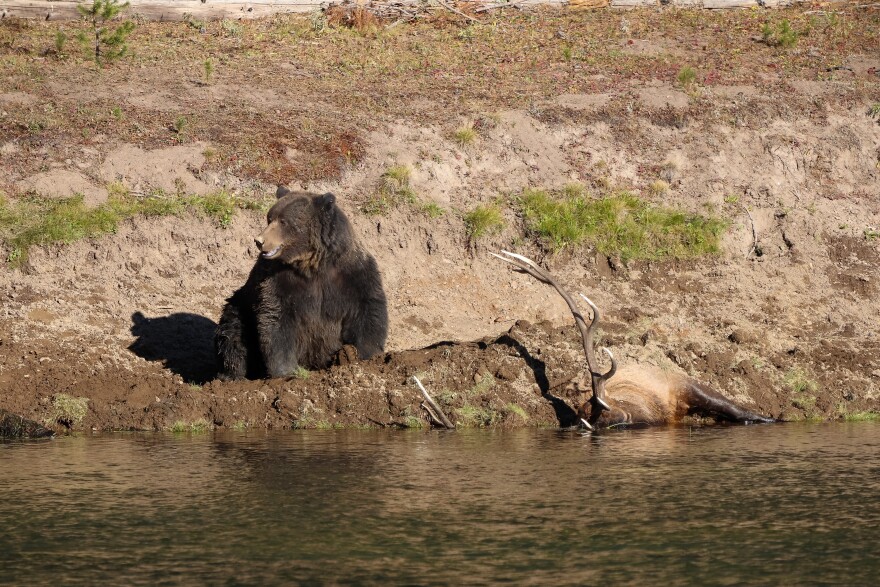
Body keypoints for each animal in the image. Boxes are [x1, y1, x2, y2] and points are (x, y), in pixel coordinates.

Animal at [215, 186, 388, 380]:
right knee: (233, 333)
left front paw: (363, 356)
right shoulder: (277, 278)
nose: (259, 241)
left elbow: (367, 309)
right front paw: (285, 371)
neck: (313, 264)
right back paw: (232, 375)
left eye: (283, 221)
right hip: (242, 309)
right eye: (269, 218)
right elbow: (276, 316)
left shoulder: (353, 274)